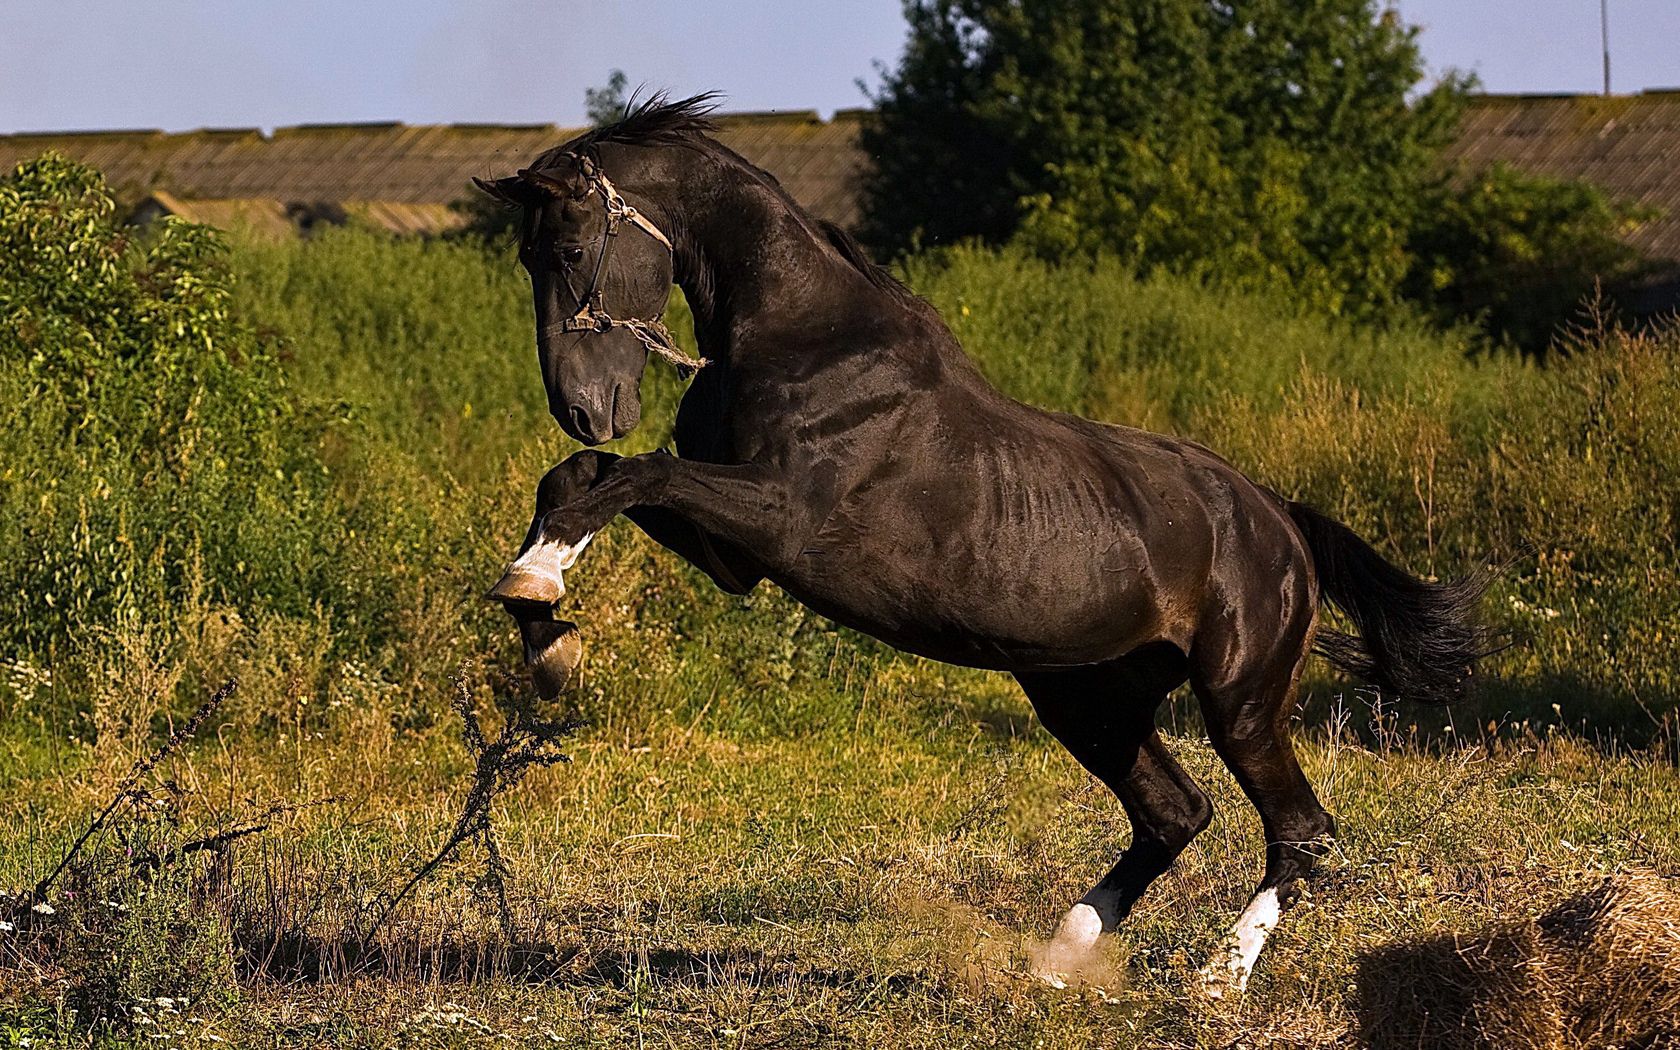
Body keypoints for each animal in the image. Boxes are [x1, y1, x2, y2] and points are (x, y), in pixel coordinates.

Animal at [470, 96, 1485, 987]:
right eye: (525, 256)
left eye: (568, 249)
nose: (584, 405)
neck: (804, 339)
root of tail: (1281, 521)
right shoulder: (736, 558)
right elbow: (580, 479)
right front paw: (542, 622)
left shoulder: (782, 520)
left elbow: (633, 476)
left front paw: (539, 598)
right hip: (1086, 698)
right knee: (1176, 813)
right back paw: (1059, 959)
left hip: (1239, 699)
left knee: (1301, 831)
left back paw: (1216, 978)